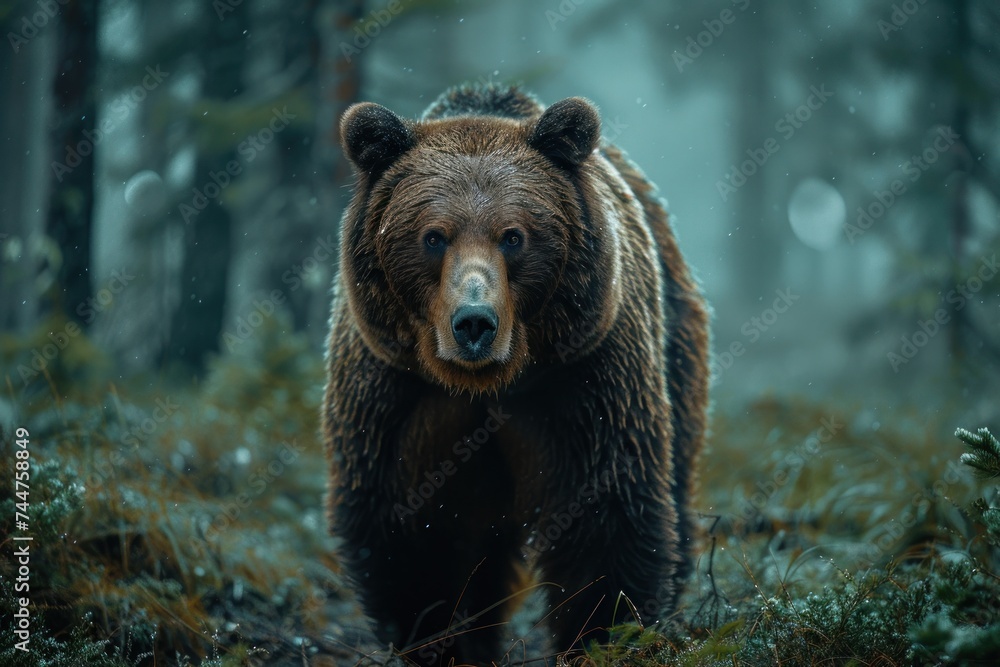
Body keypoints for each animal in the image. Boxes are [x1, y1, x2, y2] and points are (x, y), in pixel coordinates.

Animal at [323, 82, 709, 666]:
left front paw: (600, 636)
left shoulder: (584, 381)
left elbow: (606, 515)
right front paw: (441, 640)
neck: (484, 384)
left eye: (513, 236)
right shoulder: (395, 392)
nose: (474, 323)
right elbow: (406, 531)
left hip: (676, 345)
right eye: (433, 237)